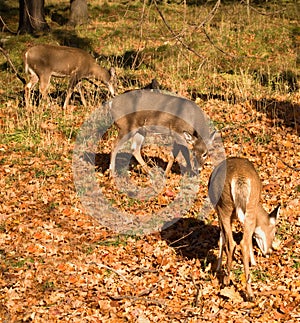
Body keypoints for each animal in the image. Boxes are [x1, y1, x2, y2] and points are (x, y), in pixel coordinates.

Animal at [207, 158, 280, 302]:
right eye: (274, 232)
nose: (269, 251)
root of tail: (239, 178)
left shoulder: (219, 212)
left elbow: (221, 237)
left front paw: (218, 268)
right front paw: (254, 262)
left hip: (225, 207)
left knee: (232, 243)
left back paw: (226, 281)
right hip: (249, 205)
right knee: (243, 243)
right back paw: (250, 293)